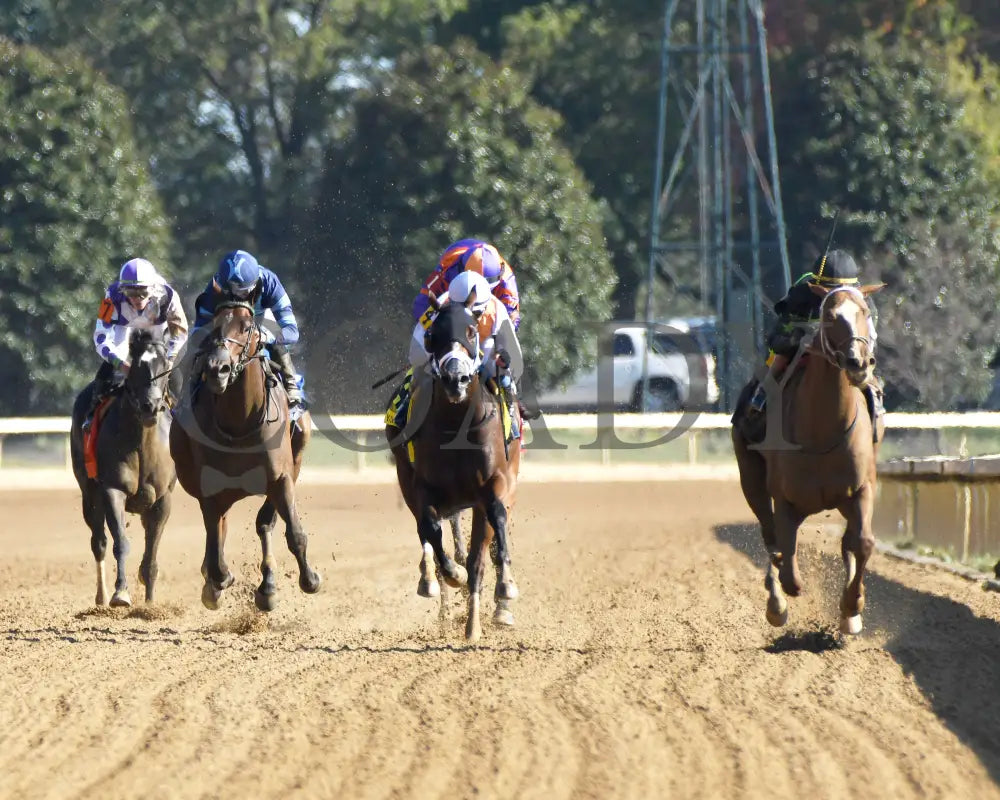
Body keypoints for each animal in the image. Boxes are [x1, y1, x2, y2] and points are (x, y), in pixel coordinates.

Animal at [69, 326, 176, 608]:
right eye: (137, 365)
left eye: (165, 365)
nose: (150, 406)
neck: (141, 444)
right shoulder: (112, 490)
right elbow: (120, 543)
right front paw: (121, 594)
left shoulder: (162, 498)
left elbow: (151, 555)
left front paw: (150, 604)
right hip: (89, 494)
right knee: (99, 542)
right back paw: (102, 596)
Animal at [170, 302, 320, 612]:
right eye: (214, 325)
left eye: (247, 327)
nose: (218, 368)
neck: (238, 423)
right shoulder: (209, 488)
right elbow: (215, 546)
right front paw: (219, 581)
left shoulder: (281, 477)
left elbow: (291, 532)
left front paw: (309, 579)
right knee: (218, 530)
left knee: (262, 523)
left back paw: (268, 586)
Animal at [386, 290, 520, 640]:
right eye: (433, 335)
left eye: (472, 332)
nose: (455, 379)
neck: (457, 425)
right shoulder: (424, 489)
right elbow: (432, 531)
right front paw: (452, 575)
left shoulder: (495, 484)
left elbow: (491, 534)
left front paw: (503, 589)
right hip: (409, 481)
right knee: (427, 533)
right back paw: (434, 587)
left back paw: (491, 613)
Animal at [732, 284, 888, 636]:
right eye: (829, 316)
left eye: (865, 312)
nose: (858, 362)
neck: (822, 431)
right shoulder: (785, 499)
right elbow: (789, 568)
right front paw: (780, 600)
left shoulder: (861, 490)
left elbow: (863, 543)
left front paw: (852, 606)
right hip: (751, 480)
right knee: (771, 537)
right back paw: (776, 604)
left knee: (846, 542)